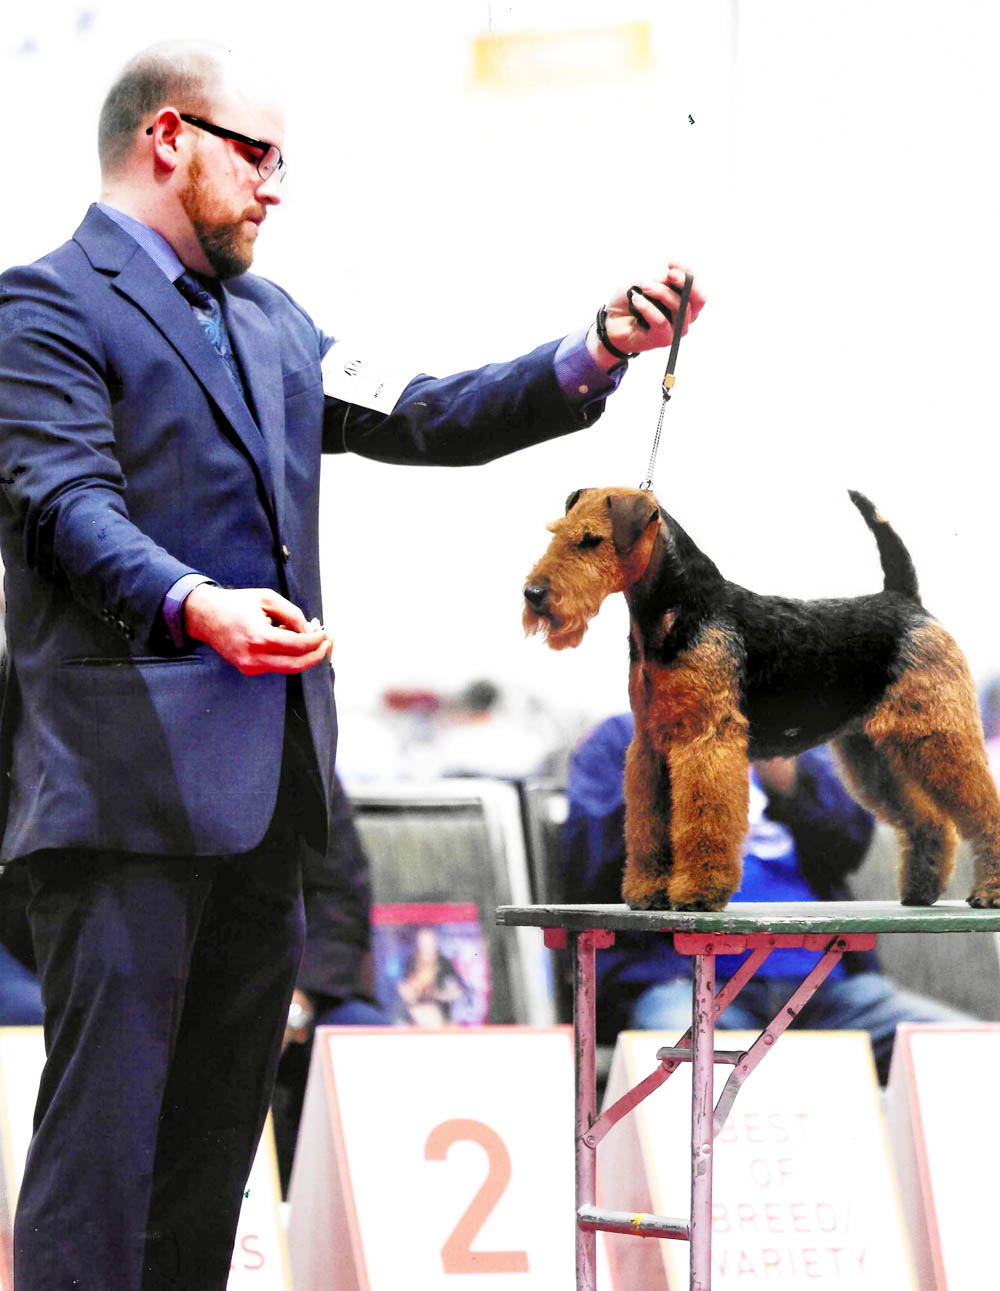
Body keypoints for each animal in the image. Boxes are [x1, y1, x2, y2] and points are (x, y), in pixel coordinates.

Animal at [523, 487, 1000, 911]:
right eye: (557, 532)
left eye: (590, 539)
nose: (533, 594)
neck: (680, 608)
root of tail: (905, 599)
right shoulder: (651, 746)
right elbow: (649, 827)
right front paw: (647, 893)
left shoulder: (705, 740)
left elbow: (703, 821)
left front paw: (698, 894)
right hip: (873, 752)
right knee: (929, 821)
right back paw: (920, 891)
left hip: (937, 735)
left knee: (980, 810)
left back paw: (987, 893)